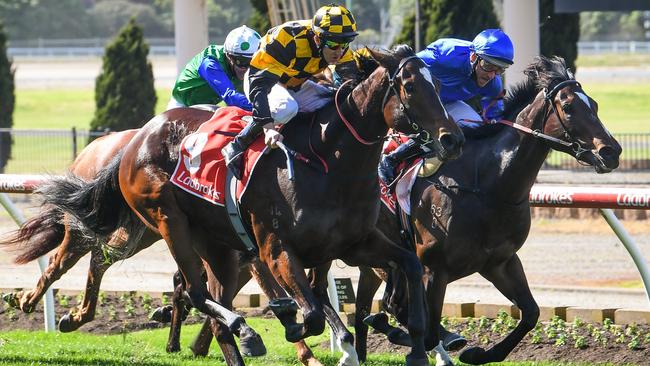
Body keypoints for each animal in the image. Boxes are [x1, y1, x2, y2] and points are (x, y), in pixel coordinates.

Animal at [352, 55, 620, 364]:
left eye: (595, 105)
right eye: (568, 107)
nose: (611, 152)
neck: (488, 186)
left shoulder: (499, 262)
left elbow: (531, 313)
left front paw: (477, 353)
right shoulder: (433, 269)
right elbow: (427, 331)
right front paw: (419, 338)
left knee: (379, 304)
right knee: (390, 306)